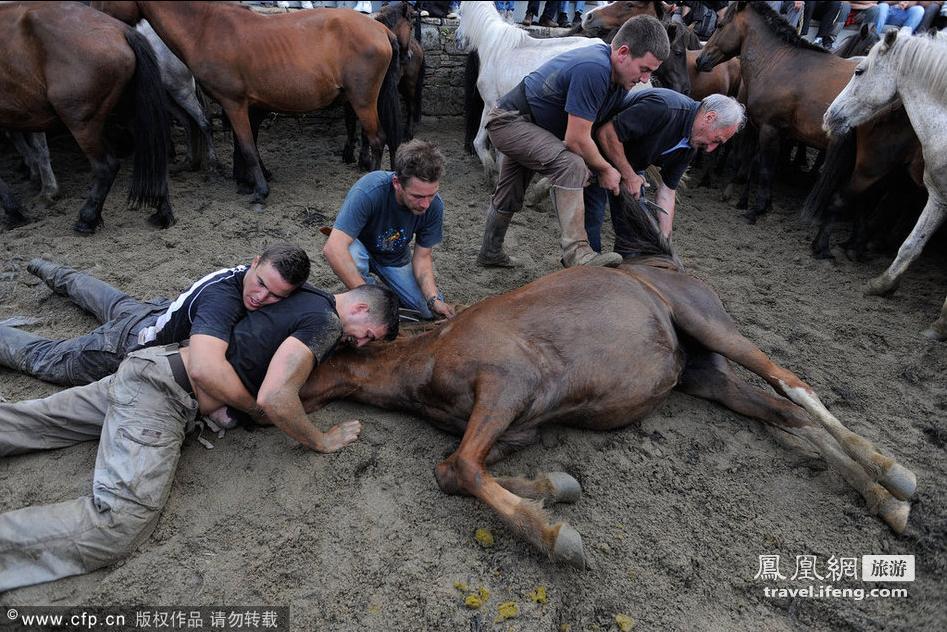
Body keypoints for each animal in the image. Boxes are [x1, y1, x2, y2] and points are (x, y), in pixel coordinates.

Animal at [0, 1, 172, 233]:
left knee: (106, 167)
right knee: (154, 156)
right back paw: (163, 213)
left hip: (82, 125)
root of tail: (120, 30)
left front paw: (13, 212)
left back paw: (87, 218)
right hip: (131, 115)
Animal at [96, 0, 404, 212]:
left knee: (378, 139)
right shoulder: (247, 106)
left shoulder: (234, 103)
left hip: (363, 100)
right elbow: (247, 145)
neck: (206, 29)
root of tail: (380, 28)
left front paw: (259, 191)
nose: (101, 26)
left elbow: (246, 147)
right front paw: (247, 181)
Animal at [298, 194, 920, 568]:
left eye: (317, 341)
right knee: (785, 414)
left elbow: (460, 468)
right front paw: (554, 489)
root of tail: (666, 264)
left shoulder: (506, 389)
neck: (429, 358)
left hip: (712, 327)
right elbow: (459, 467)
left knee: (793, 385)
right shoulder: (514, 428)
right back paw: (885, 504)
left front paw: (556, 536)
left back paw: (896, 474)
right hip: (707, 378)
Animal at [696, 1, 860, 223]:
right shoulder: (780, 133)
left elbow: (766, 169)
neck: (780, 63)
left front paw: (758, 208)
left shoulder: (769, 129)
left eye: (720, 25)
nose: (700, 59)